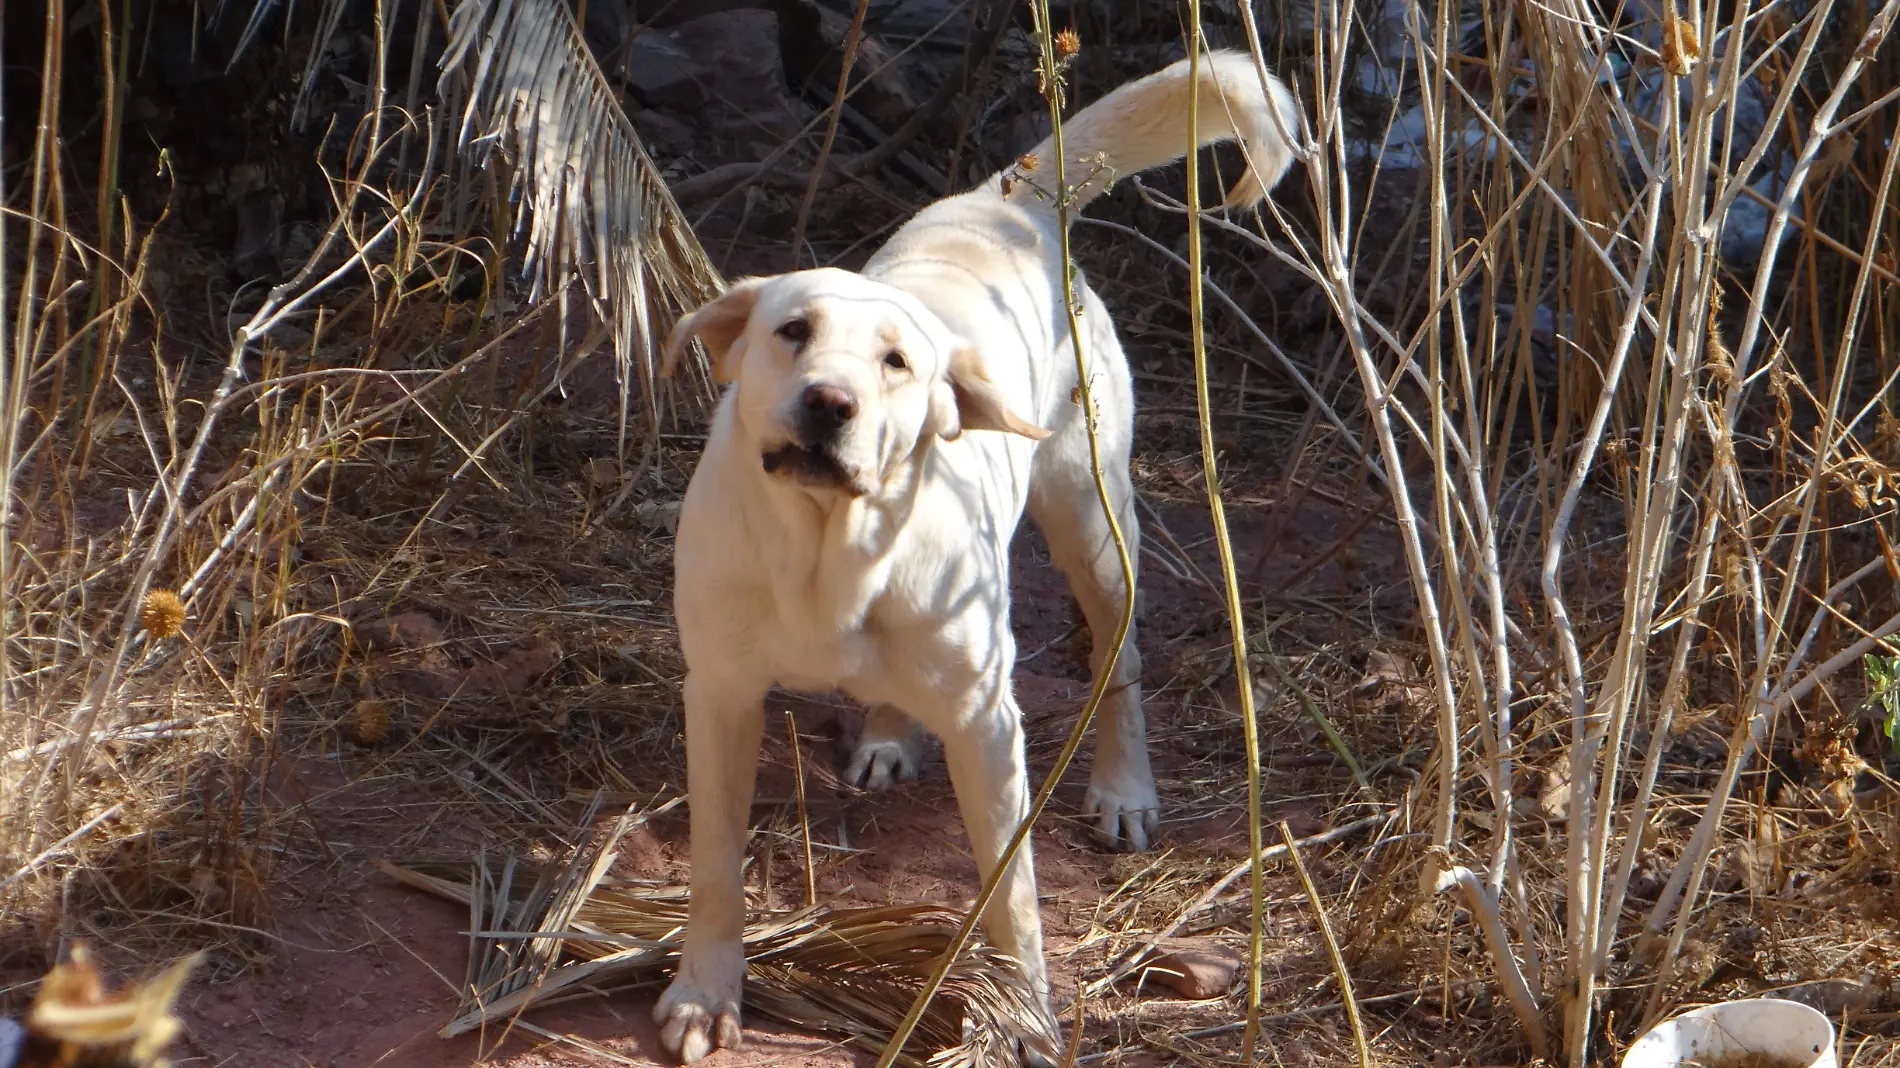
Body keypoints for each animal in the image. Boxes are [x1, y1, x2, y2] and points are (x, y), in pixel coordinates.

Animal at [661, 47, 1299, 1056]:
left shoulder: (988, 726)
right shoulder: (720, 695)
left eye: (898, 364)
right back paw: (888, 734)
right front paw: (704, 991)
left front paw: (1026, 1013)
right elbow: (716, 866)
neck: (829, 554)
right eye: (792, 331)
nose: (828, 404)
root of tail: (1009, 201)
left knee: (1119, 657)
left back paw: (1123, 784)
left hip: (1093, 520)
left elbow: (1015, 897)